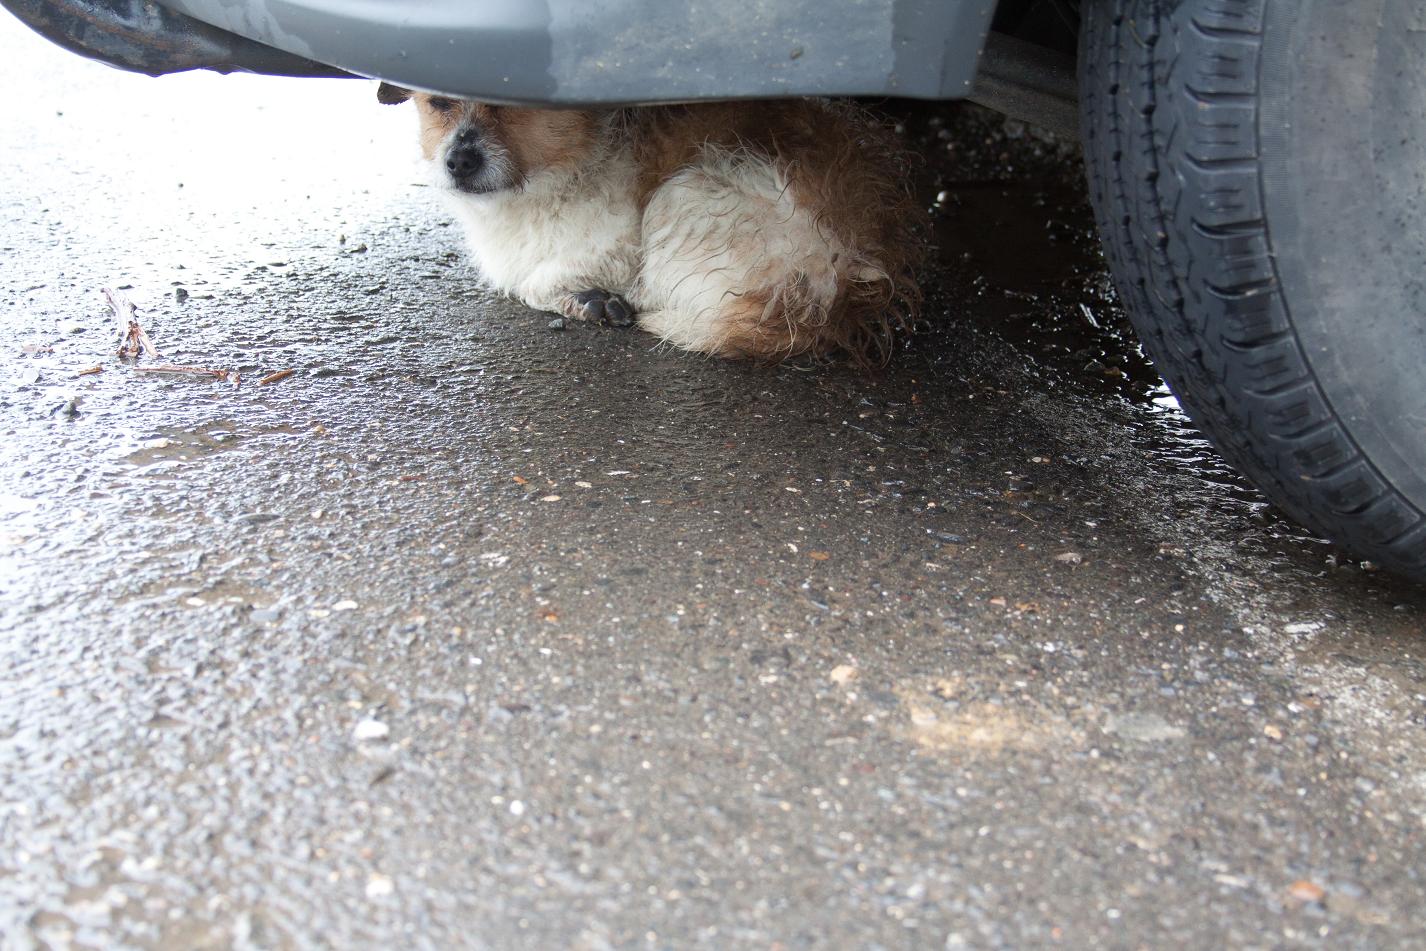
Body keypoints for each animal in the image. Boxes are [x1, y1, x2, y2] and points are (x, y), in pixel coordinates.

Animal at [378, 84, 923, 363]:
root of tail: (843, 291)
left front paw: (587, 298)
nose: (458, 161)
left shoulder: (621, 244)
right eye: (439, 103)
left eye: (515, 107)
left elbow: (533, 281)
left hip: (686, 192)